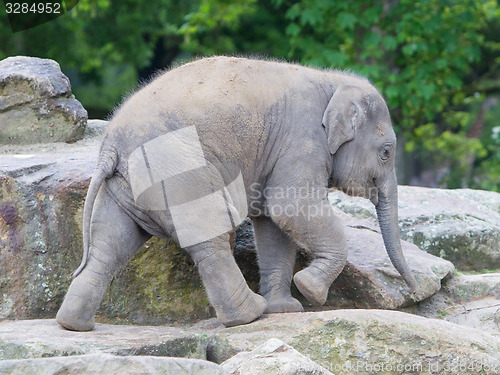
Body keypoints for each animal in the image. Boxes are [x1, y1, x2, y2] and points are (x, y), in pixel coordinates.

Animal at [56, 55, 416, 332]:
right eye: (386, 153)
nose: (412, 291)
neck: (333, 80)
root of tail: (111, 146)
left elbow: (273, 223)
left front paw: (284, 309)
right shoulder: (301, 142)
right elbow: (290, 208)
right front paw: (310, 291)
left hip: (125, 186)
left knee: (110, 244)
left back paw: (74, 324)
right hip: (177, 171)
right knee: (210, 233)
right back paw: (249, 314)